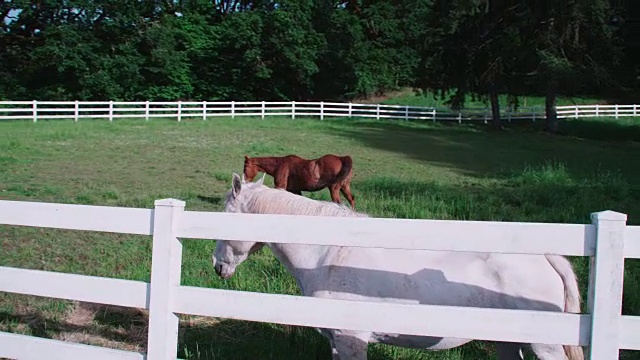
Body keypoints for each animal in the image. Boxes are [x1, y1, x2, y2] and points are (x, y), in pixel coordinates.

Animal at [211, 173, 584, 358]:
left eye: (225, 215)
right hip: (508, 342)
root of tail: (546, 256)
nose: (217, 265)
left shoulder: (351, 340)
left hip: (545, 346)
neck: (328, 254)